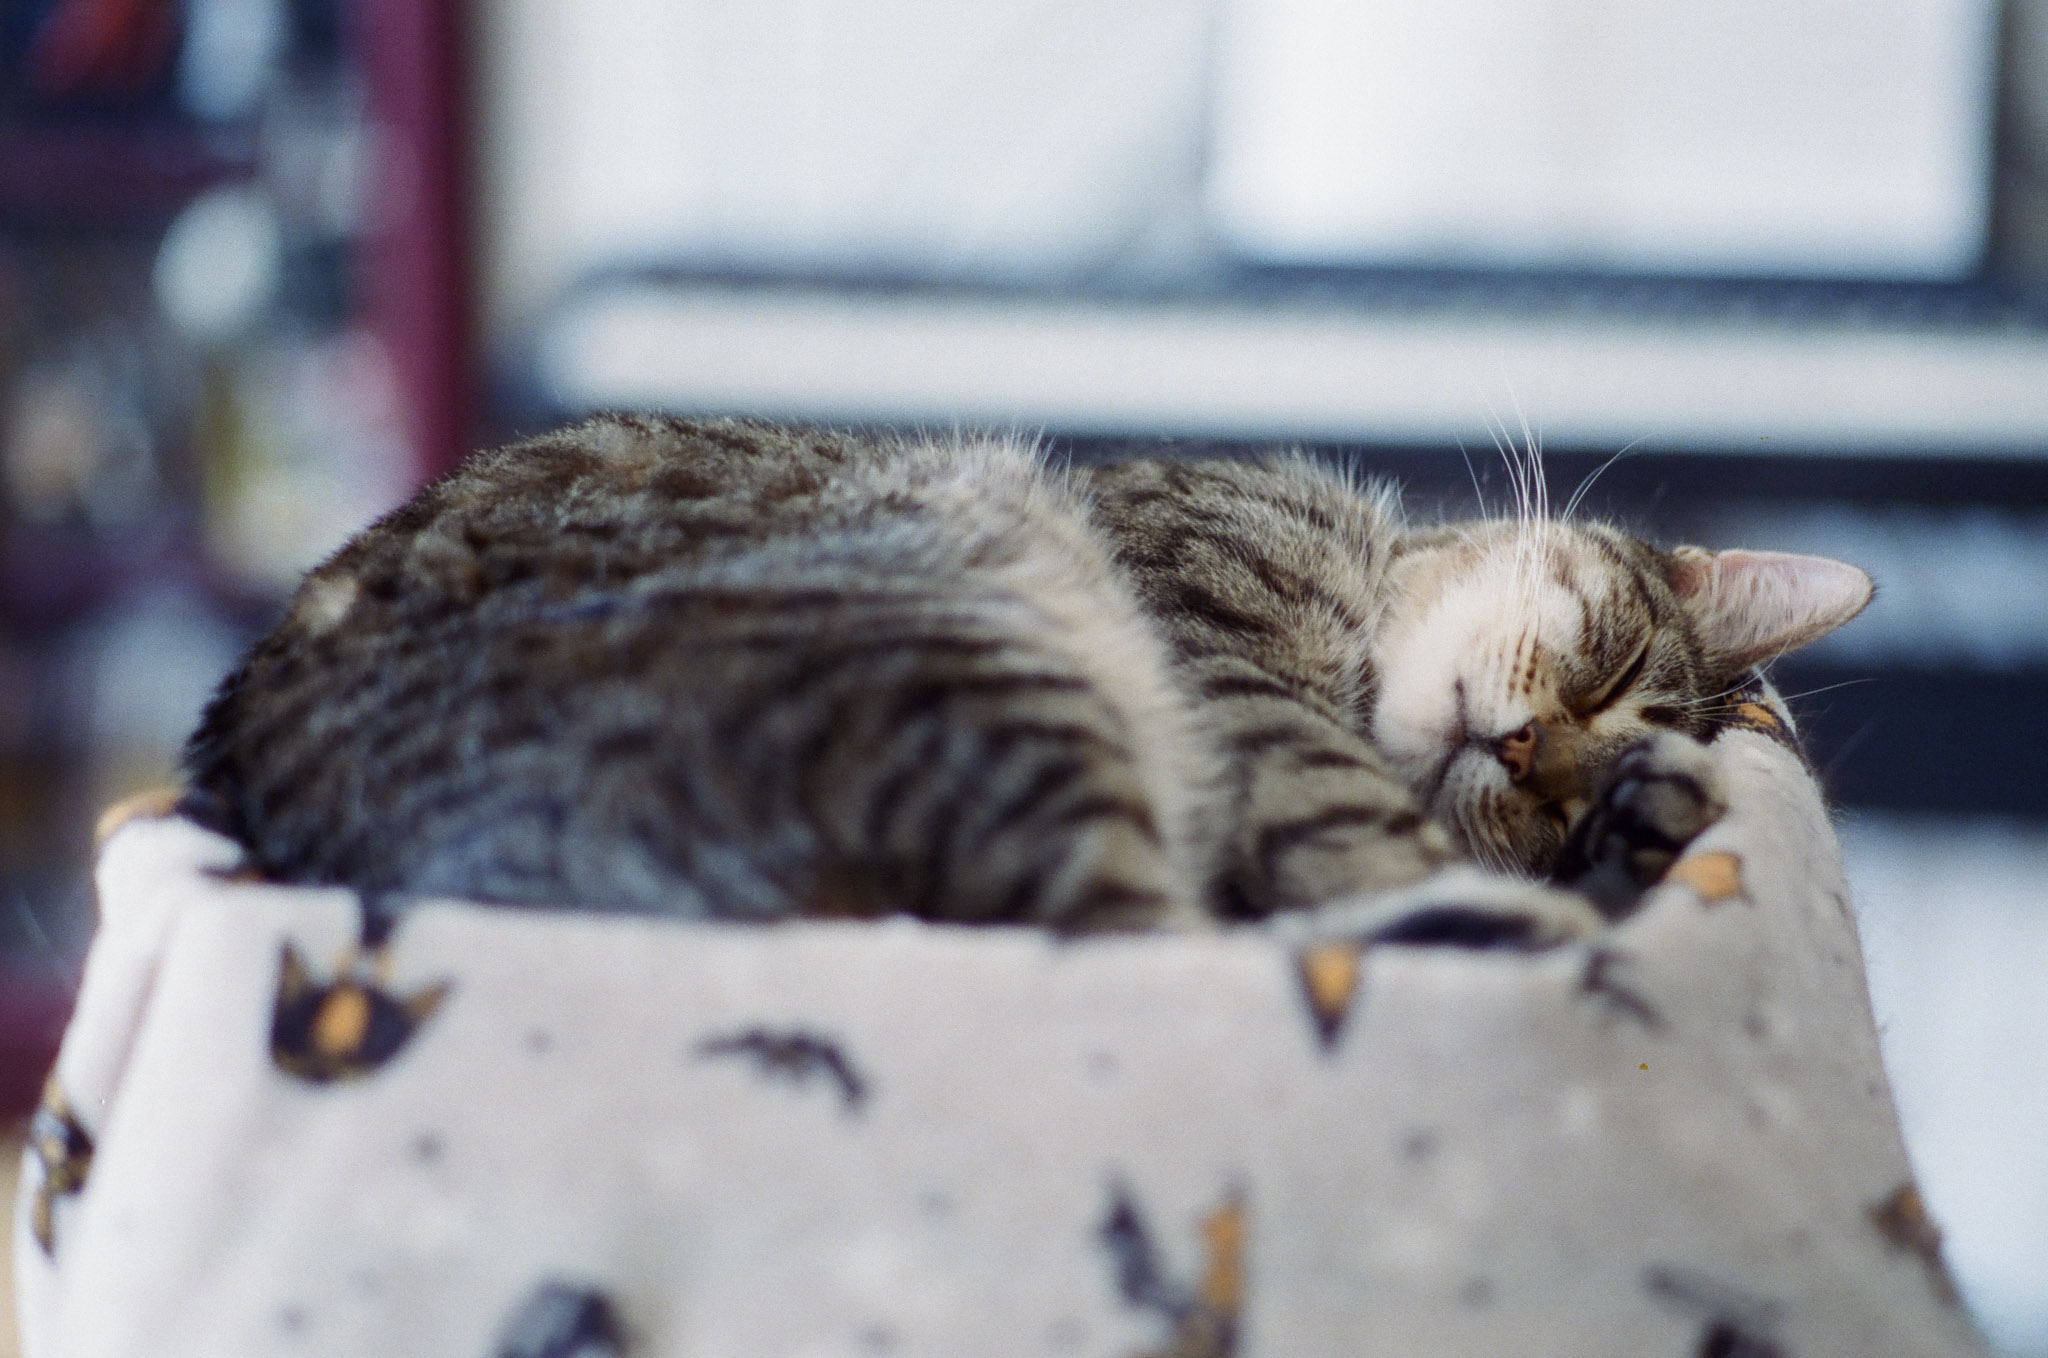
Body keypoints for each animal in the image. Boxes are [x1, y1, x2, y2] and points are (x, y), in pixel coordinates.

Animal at [180, 419, 1875, 934]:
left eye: (1563, 779)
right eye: (1614, 657)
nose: (1540, 761)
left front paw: (1635, 820)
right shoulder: (1219, 637)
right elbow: (1354, 834)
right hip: (984, 659)